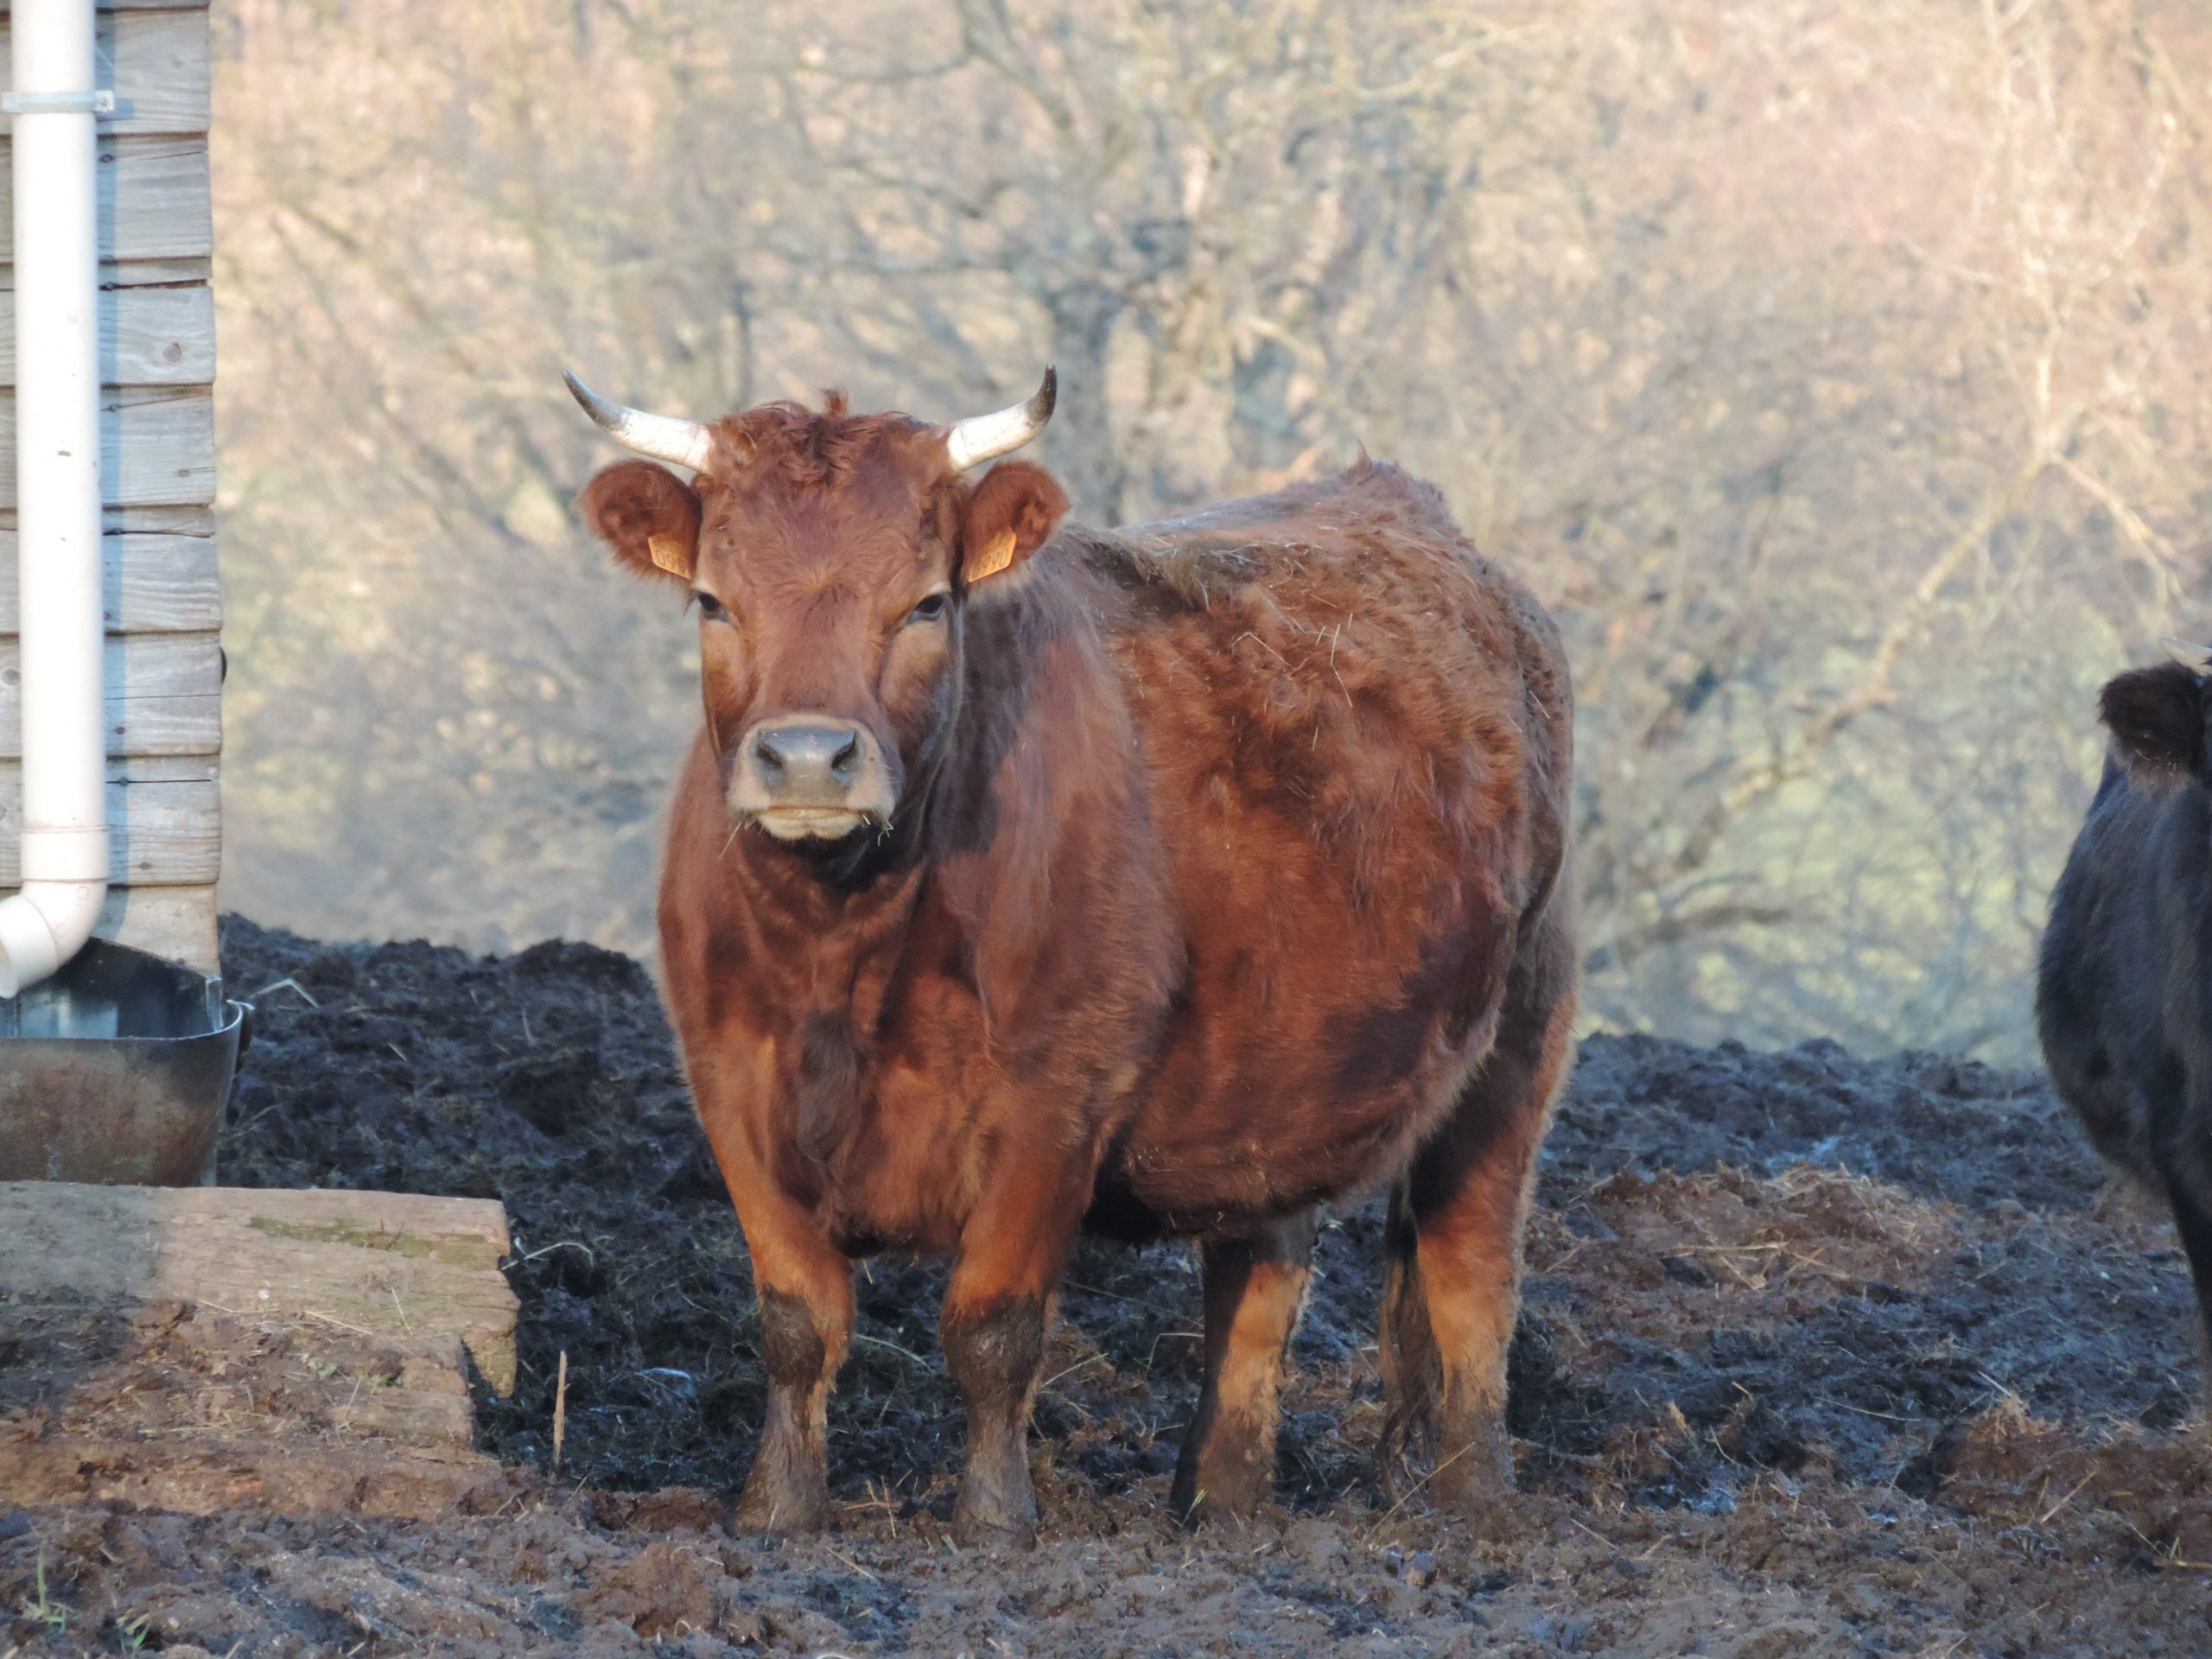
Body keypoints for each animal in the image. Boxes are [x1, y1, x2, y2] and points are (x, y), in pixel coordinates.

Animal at [566, 365, 1577, 1546]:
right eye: (713, 601)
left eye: (927, 603)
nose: (809, 760)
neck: (839, 951)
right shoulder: (729, 1088)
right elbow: (795, 1321)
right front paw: (776, 1511)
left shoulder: (1056, 1099)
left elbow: (991, 1329)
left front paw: (996, 1522)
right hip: (1278, 1079)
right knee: (1257, 1288)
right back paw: (1220, 1506)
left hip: (1515, 1042)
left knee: (1470, 1275)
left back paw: (1473, 1501)